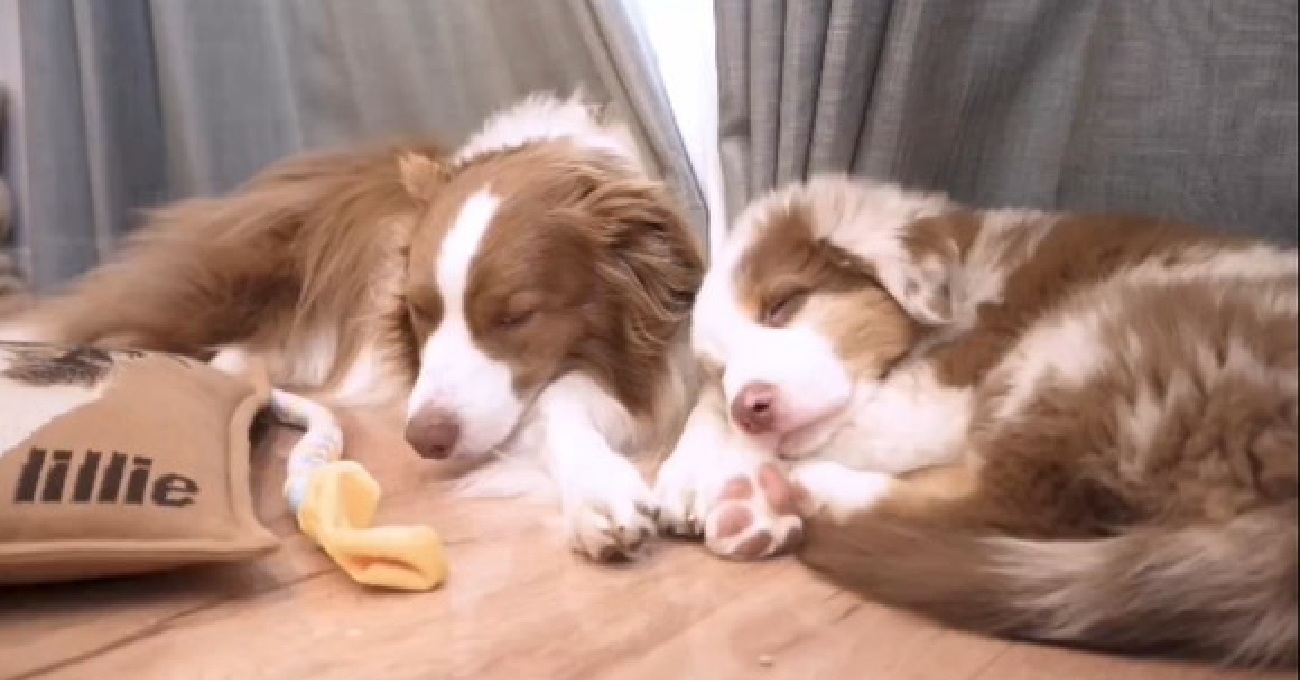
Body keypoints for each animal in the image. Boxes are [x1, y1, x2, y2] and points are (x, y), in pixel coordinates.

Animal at [0, 93, 705, 561]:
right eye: (420, 312)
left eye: (516, 316)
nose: (424, 440)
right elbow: (552, 410)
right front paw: (598, 491)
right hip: (212, 289)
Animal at [654, 175, 1297, 666]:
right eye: (720, 366)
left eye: (784, 305)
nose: (750, 406)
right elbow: (709, 407)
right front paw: (686, 471)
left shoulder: (947, 387)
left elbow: (852, 427)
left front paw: (721, 471)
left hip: (1078, 342)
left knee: (1016, 507)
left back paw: (798, 493)